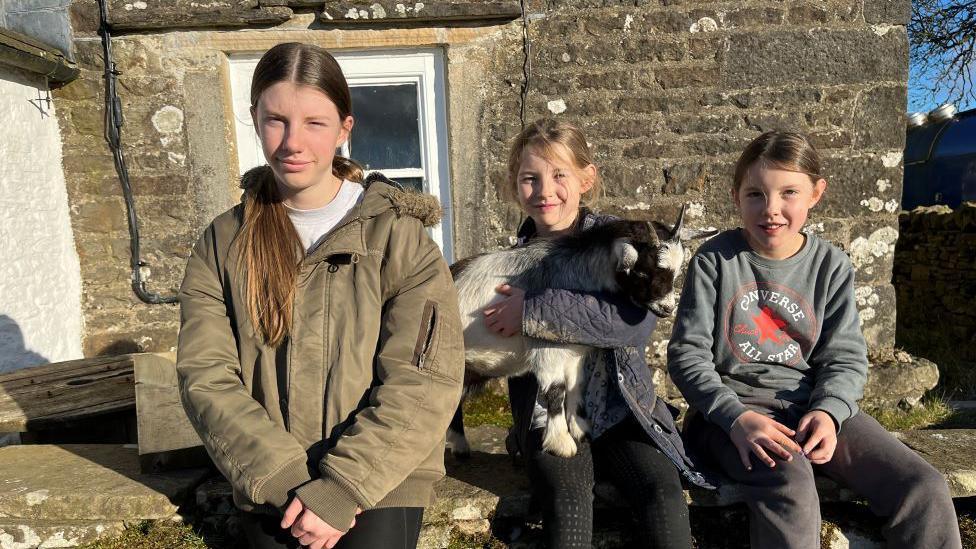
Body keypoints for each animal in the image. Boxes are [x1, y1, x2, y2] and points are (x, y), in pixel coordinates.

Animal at [450, 206, 716, 458]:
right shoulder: (547, 350)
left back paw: (459, 446)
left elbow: (576, 387)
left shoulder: (575, 353)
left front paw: (579, 429)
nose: (667, 308)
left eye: (676, 272)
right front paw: (561, 444)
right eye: (642, 272)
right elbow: (556, 391)